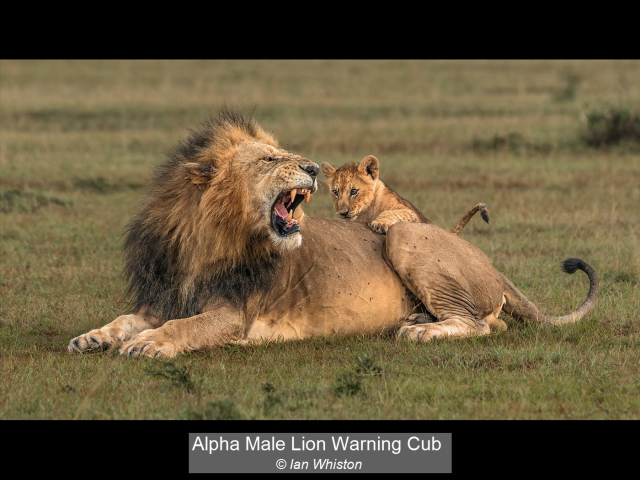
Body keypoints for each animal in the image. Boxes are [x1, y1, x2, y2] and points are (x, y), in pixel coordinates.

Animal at [320, 155, 489, 235]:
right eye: (335, 192)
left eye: (354, 191)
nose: (342, 213)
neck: (365, 212)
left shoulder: (410, 213)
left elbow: (390, 212)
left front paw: (379, 224)